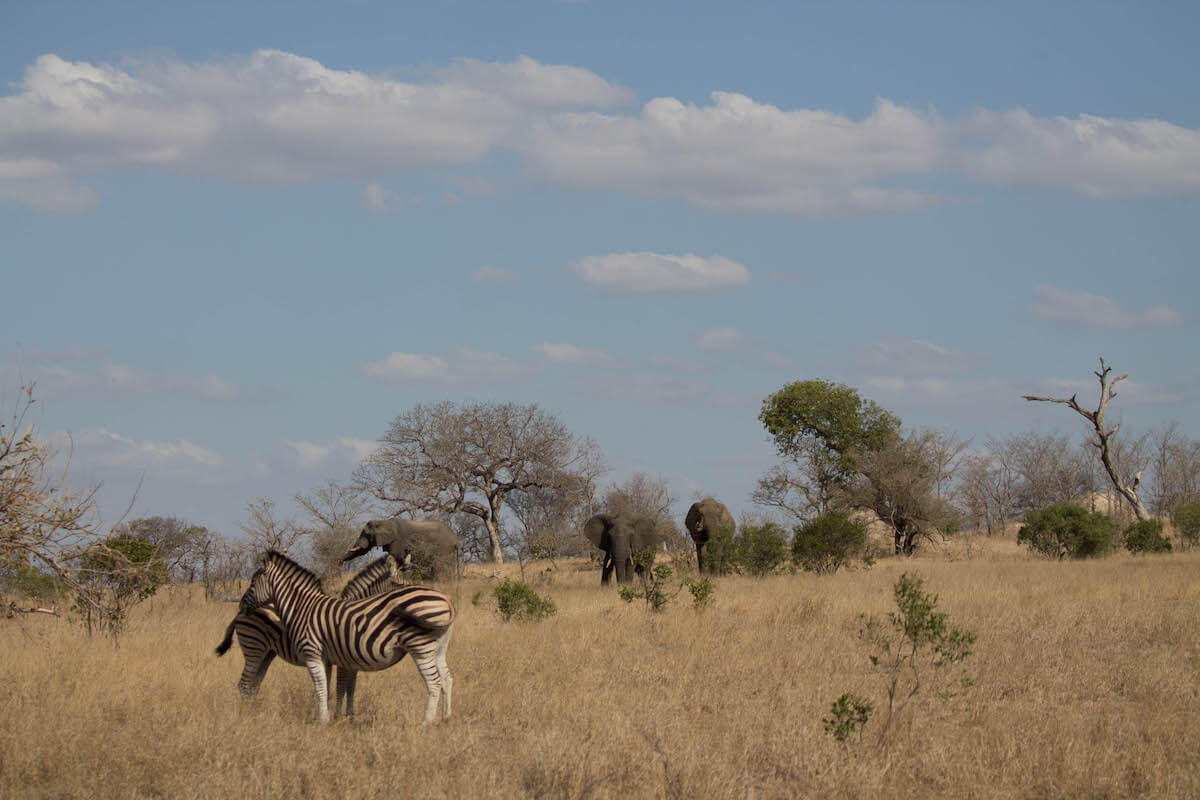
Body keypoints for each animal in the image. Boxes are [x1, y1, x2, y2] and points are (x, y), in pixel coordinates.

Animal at [213, 554, 400, 710]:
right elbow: (341, 688)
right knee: (244, 684)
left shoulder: (350, 662)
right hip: (254, 647)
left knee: (254, 684)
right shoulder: (343, 661)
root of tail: (239, 613)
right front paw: (339, 717)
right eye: (396, 584)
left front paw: (348, 716)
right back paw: (245, 713)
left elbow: (350, 688)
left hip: (267, 653)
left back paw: (253, 711)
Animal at [238, 551, 453, 724]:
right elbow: (335, 688)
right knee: (446, 678)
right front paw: (336, 716)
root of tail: (447, 601)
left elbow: (329, 687)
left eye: (253, 583)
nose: (241, 605)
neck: (302, 607)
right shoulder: (336, 659)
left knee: (434, 681)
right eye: (396, 583)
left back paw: (427, 722)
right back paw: (446, 718)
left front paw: (328, 719)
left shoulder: (315, 654)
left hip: (421, 647)